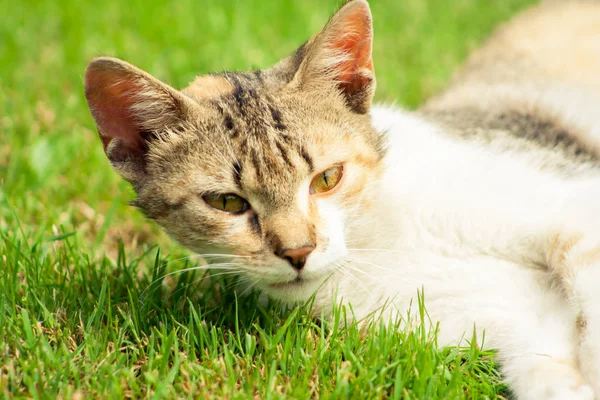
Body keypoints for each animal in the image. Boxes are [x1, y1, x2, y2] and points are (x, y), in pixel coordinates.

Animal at [84, 1, 600, 398]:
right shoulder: (514, 315)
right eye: (227, 203)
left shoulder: (568, 200)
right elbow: (549, 367)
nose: (297, 252)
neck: (375, 241)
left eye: (327, 178)